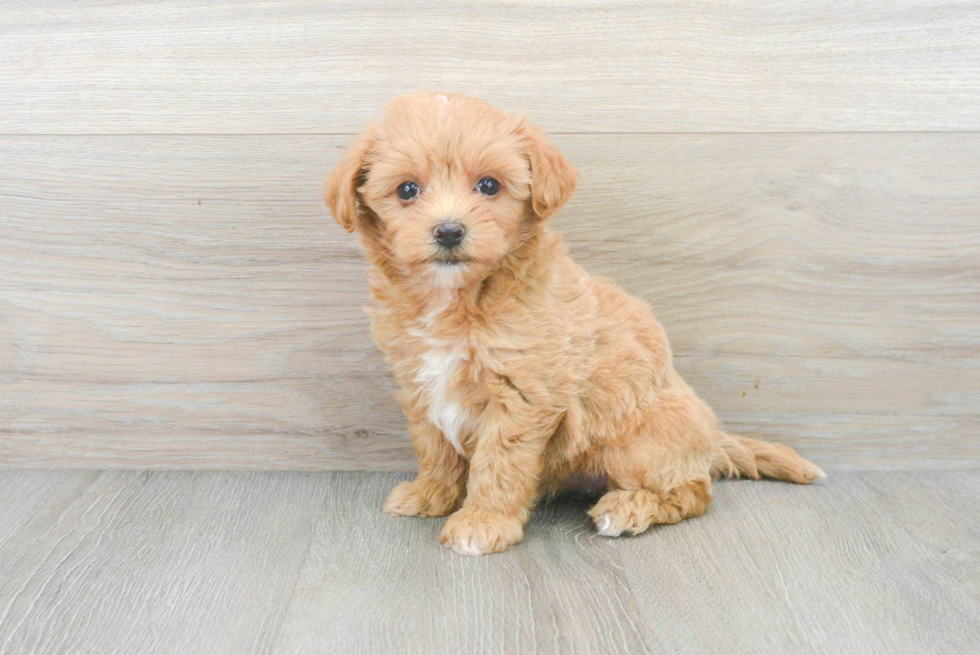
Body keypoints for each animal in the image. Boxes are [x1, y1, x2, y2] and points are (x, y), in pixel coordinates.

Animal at [326, 91, 824, 552]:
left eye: (488, 185)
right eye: (407, 190)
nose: (449, 231)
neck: (459, 298)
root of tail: (712, 437)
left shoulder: (522, 395)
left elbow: (498, 464)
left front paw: (482, 524)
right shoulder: (420, 382)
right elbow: (434, 446)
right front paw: (432, 494)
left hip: (638, 444)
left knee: (692, 493)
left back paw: (627, 509)